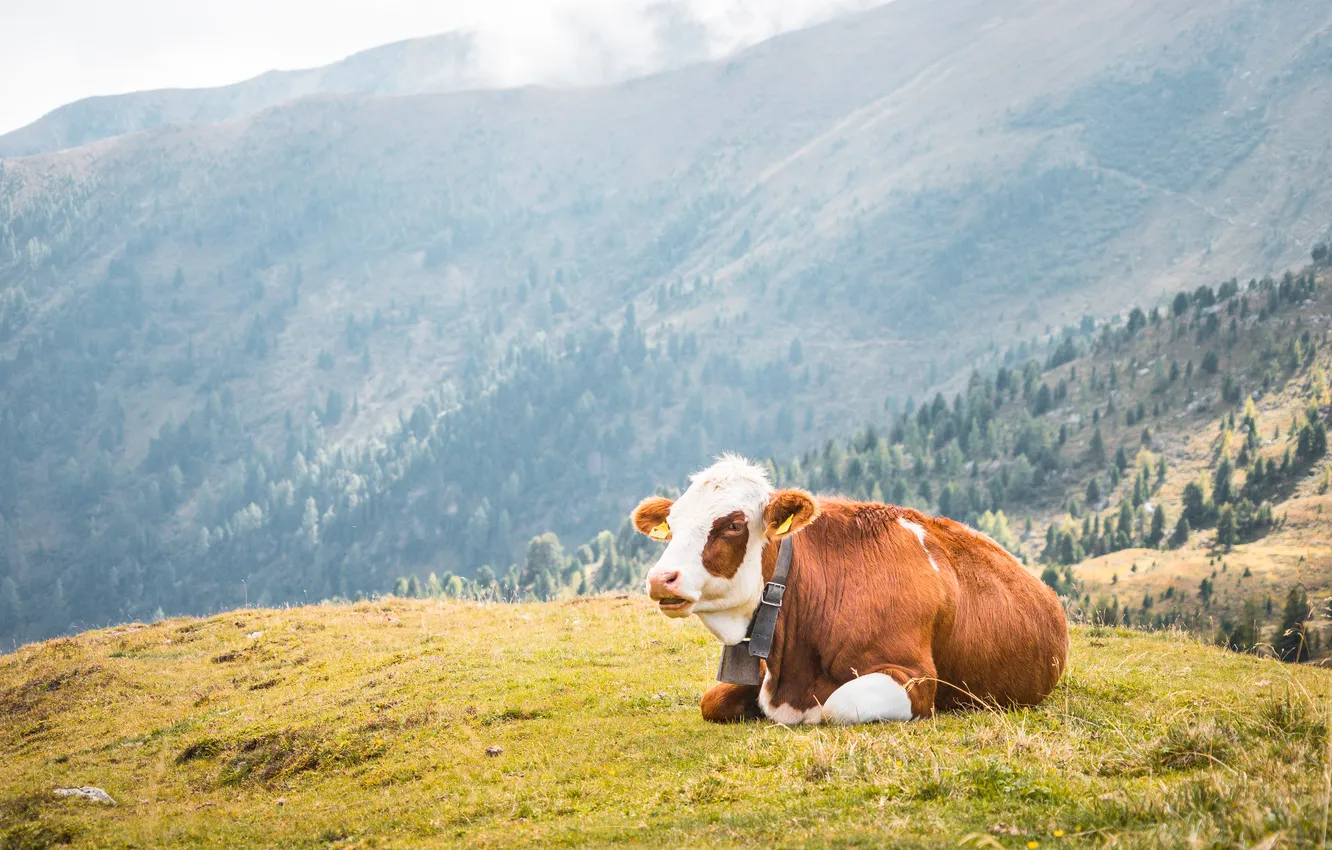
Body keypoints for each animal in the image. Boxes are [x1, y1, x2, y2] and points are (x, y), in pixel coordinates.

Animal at [632, 454, 1068, 724]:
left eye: (733, 524)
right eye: (672, 523)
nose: (660, 578)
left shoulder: (917, 678)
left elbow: (837, 705)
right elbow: (712, 700)